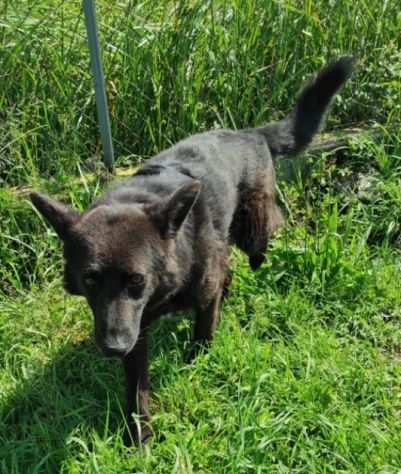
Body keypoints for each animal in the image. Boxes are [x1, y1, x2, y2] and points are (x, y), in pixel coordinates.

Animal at [31, 56, 354, 444]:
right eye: (91, 279)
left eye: (137, 280)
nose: (113, 348)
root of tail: (249, 133)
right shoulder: (137, 329)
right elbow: (137, 390)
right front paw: (138, 436)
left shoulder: (191, 298)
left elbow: (203, 331)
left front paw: (197, 362)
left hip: (252, 230)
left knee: (259, 245)